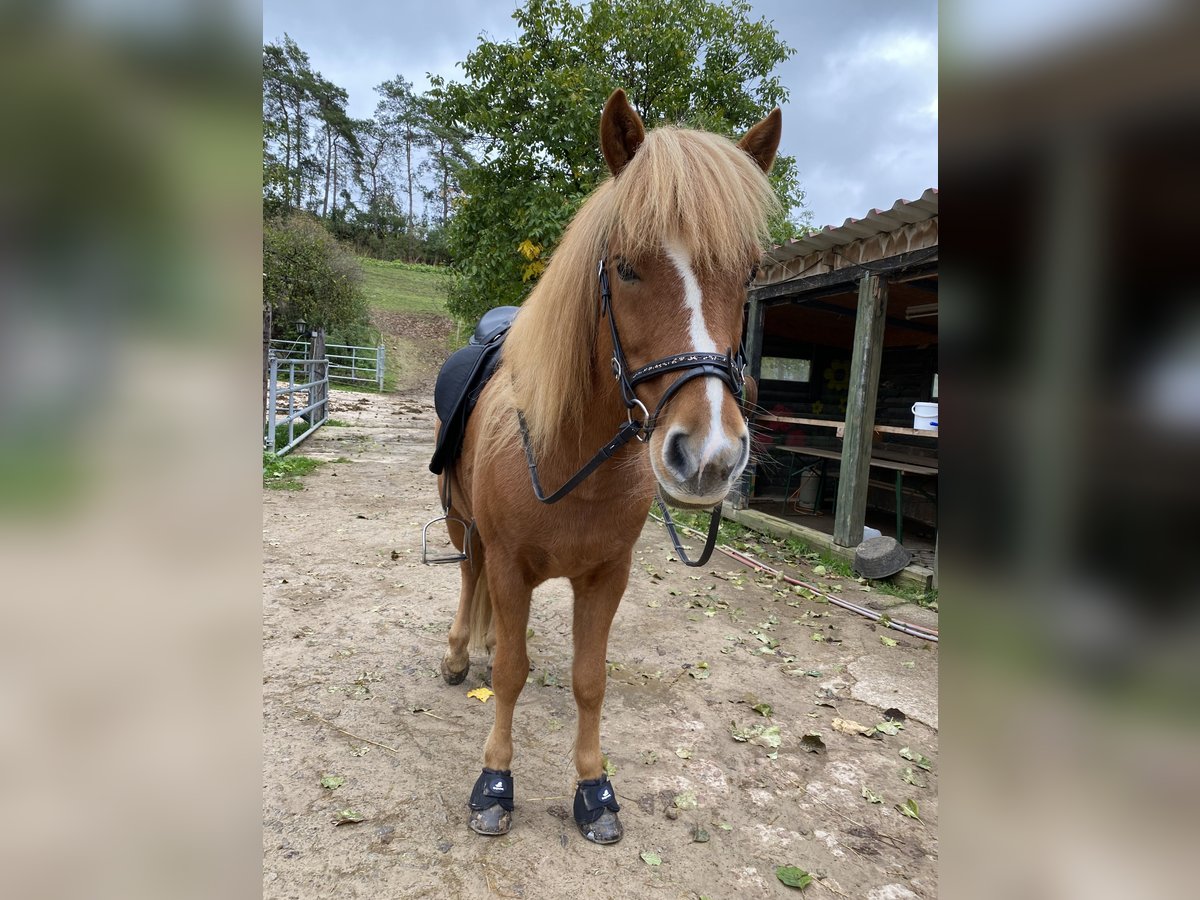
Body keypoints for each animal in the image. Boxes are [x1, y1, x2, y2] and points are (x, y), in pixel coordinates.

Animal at [434, 88, 781, 844]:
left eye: (748, 273)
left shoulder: (606, 576)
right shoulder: (510, 565)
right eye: (625, 266)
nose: (709, 455)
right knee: (469, 580)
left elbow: (589, 680)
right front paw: (494, 782)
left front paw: (594, 789)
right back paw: (457, 653)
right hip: (459, 523)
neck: (570, 457)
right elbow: (510, 672)